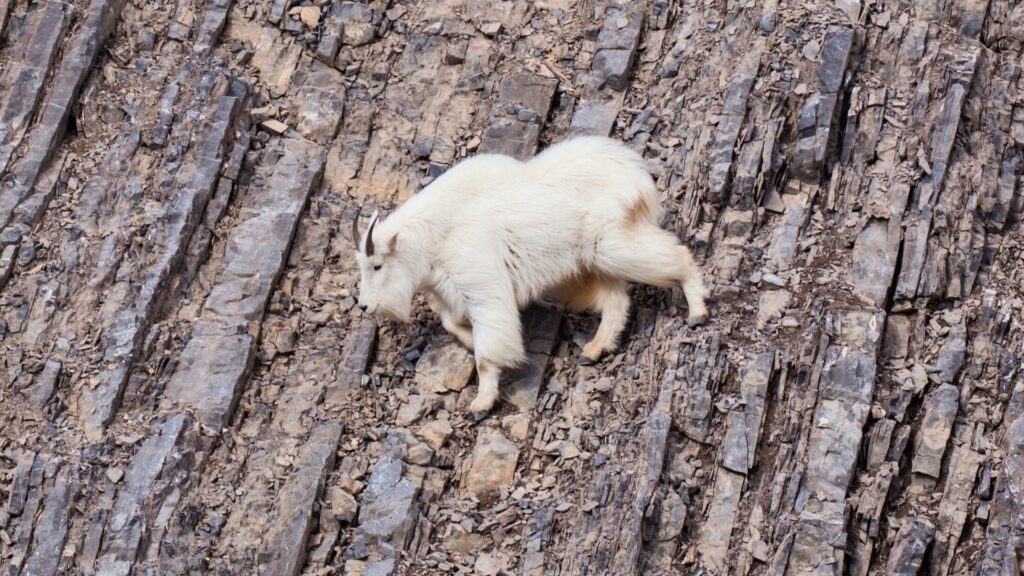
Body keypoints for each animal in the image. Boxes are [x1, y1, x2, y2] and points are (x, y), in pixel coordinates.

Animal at [352, 134, 704, 412]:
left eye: (377, 265)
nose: (364, 306)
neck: (434, 236)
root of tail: (634, 172)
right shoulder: (454, 290)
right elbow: (450, 321)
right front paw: (469, 343)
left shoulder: (481, 281)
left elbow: (488, 347)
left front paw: (481, 401)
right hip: (583, 269)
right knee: (615, 299)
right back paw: (595, 348)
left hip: (610, 245)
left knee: (677, 256)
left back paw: (698, 310)